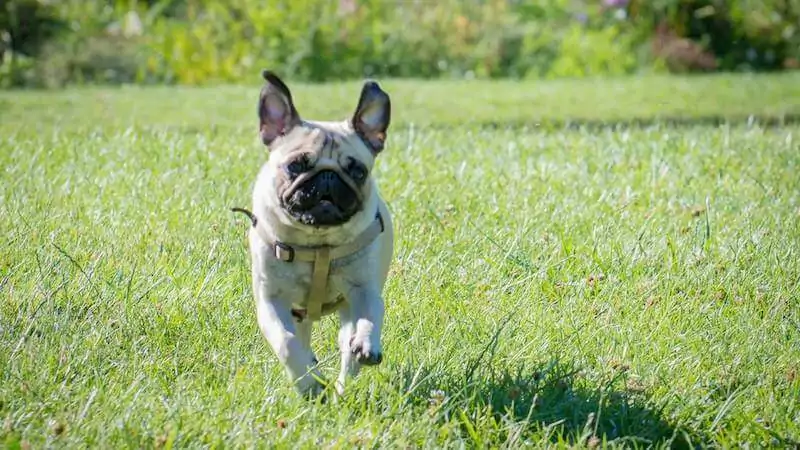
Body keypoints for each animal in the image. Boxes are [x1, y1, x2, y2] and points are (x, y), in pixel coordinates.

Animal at [236, 70, 396, 398]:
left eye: (358, 171)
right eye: (295, 165)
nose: (327, 178)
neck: (318, 243)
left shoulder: (365, 291)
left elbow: (371, 317)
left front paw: (367, 343)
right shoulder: (272, 300)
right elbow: (286, 343)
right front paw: (308, 382)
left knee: (347, 349)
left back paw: (343, 384)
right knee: (300, 338)